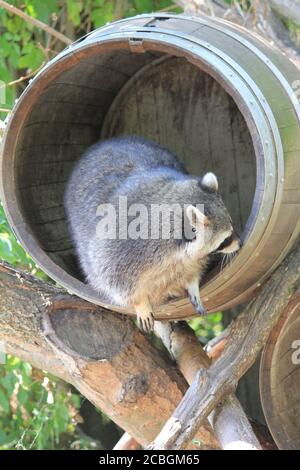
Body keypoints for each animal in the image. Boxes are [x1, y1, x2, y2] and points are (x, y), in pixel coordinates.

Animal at [64, 136, 240, 332]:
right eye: (225, 240)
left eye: (231, 226)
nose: (240, 243)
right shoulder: (120, 250)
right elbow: (114, 280)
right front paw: (140, 303)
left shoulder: (187, 257)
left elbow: (192, 268)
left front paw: (192, 284)